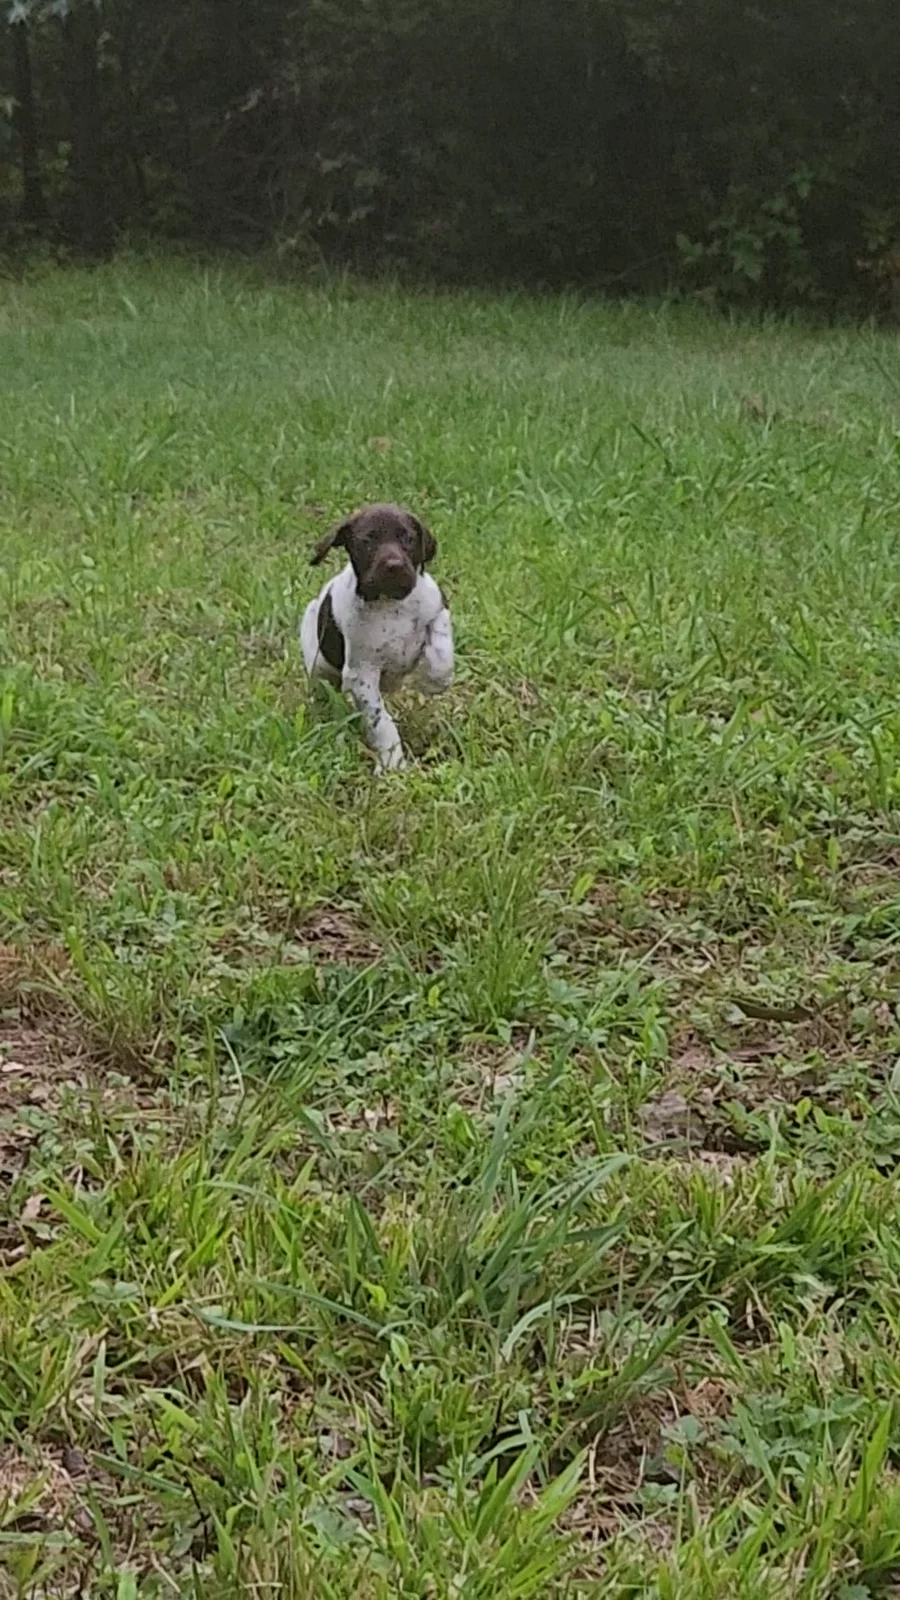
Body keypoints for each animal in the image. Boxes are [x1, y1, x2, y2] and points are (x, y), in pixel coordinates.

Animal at [301, 503, 454, 770]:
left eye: (408, 539)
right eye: (367, 540)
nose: (393, 565)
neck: (389, 604)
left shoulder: (437, 606)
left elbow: (441, 649)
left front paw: (434, 681)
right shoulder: (361, 675)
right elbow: (380, 720)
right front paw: (393, 762)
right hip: (317, 660)